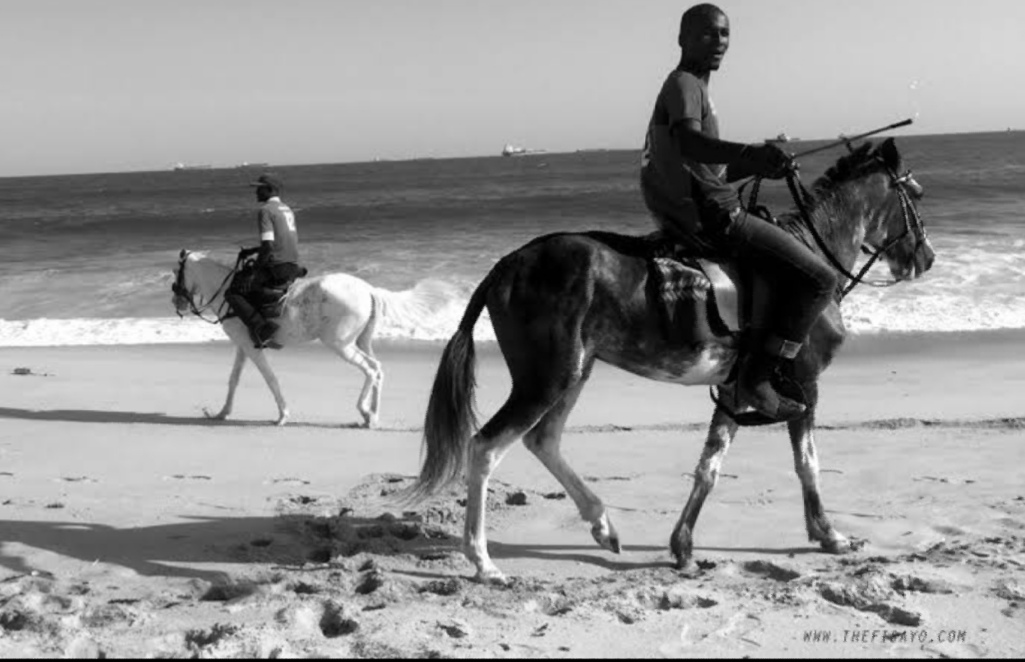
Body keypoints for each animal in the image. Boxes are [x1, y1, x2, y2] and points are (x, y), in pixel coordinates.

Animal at [171, 250, 448, 430]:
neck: (228, 294)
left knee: (370, 370)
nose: (177, 302)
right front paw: (222, 412)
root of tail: (368, 289)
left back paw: (365, 411)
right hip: (360, 342)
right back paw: (373, 416)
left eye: (176, 273)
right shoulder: (243, 346)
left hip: (340, 344)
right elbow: (233, 380)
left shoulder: (252, 347)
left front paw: (283, 415)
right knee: (378, 369)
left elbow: (271, 379)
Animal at [410, 137, 938, 582]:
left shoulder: (735, 390)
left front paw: (682, 545)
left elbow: (710, 466)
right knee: (485, 447)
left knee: (543, 440)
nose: (927, 257)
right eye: (915, 193)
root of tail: (508, 263)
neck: (813, 252)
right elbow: (808, 463)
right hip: (546, 379)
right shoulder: (803, 385)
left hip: (576, 371)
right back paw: (482, 560)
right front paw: (828, 534)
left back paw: (602, 523)